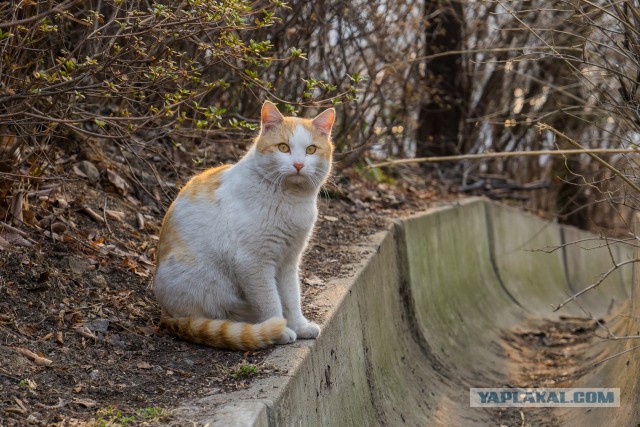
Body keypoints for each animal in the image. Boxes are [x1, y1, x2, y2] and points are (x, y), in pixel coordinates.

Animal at [154, 101, 336, 352]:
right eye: (283, 148)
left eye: (311, 150)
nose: (298, 164)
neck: (291, 200)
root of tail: (166, 314)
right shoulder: (254, 263)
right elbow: (270, 301)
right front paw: (279, 330)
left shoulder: (289, 261)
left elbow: (291, 297)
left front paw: (299, 326)